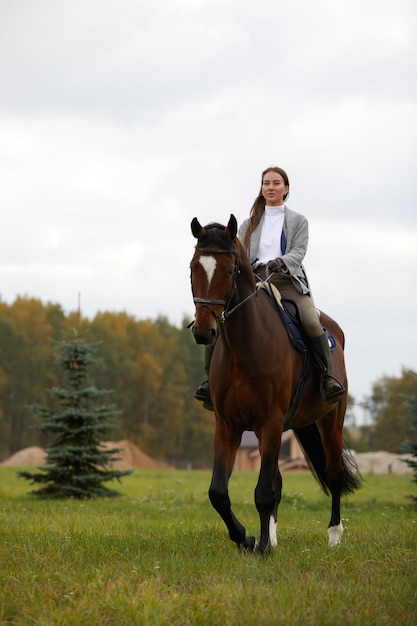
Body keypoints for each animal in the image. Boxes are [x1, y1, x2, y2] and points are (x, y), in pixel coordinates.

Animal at [190, 213, 360, 552]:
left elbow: (264, 492)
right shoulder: (227, 425)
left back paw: (334, 535)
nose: (204, 331)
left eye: (228, 271)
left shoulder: (268, 421)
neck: (244, 346)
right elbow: (218, 493)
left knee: (333, 473)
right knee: (279, 481)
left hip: (330, 420)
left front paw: (263, 547)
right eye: (193, 269)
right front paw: (248, 538)